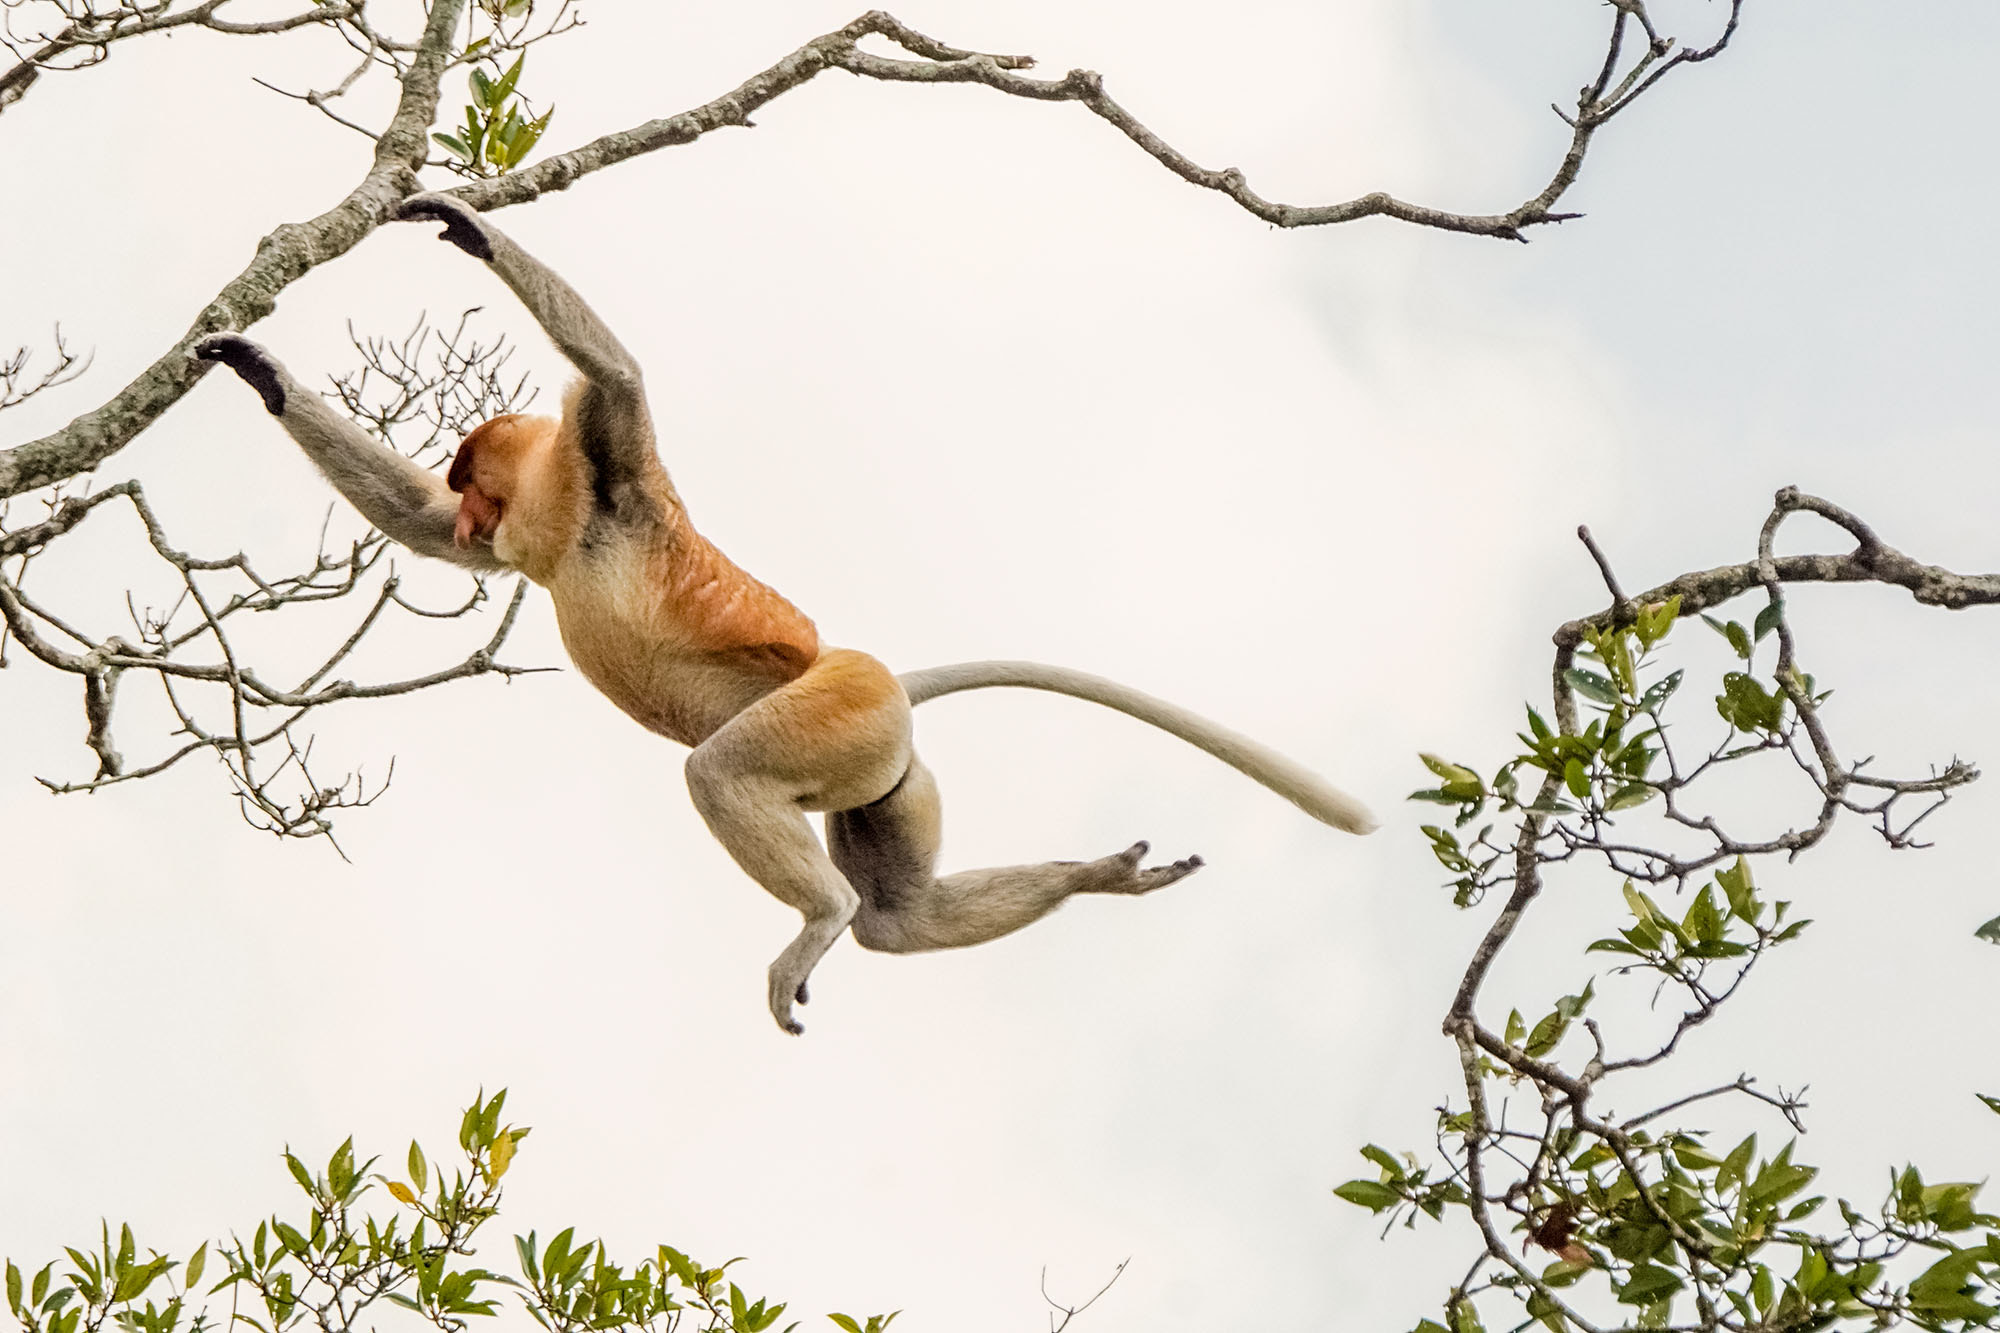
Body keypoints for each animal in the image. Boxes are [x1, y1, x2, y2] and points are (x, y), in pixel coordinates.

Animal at [195, 192, 1384, 1032]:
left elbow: (615, 378)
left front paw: (465, 229)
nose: (483, 511)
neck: (563, 522)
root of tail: (884, 676)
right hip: (887, 768)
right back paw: (1089, 878)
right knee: (901, 916)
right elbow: (422, 529)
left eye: (479, 474)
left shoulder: (611, 466)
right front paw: (256, 367)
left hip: (836, 708)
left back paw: (820, 919)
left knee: (723, 773)